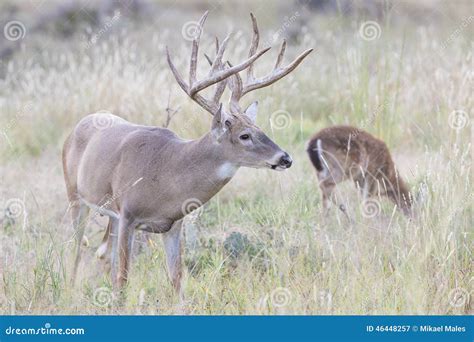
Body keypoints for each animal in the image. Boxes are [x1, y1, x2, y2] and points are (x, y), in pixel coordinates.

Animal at [63, 10, 312, 294]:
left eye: (260, 128)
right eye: (244, 135)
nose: (285, 158)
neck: (167, 172)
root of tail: (79, 125)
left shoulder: (173, 224)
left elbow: (176, 279)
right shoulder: (128, 214)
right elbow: (124, 279)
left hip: (109, 214)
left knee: (104, 254)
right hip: (75, 196)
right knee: (76, 249)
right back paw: (69, 290)